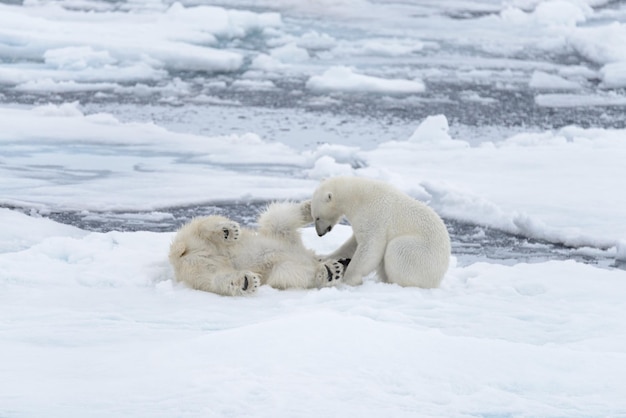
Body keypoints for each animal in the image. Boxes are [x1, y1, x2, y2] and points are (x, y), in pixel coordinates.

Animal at [168, 201, 348, 296]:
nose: (345, 262)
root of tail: (181, 255)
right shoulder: (283, 237)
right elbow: (280, 218)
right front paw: (332, 270)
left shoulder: (282, 263)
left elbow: (288, 271)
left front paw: (330, 270)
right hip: (191, 236)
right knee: (203, 225)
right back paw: (227, 231)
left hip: (198, 272)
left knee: (217, 278)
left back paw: (245, 281)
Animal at [310, 176, 448, 288]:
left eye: (317, 217)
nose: (319, 233)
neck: (357, 196)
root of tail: (438, 278)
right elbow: (353, 244)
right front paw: (322, 257)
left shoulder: (375, 215)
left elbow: (371, 246)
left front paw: (349, 278)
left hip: (421, 254)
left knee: (397, 249)